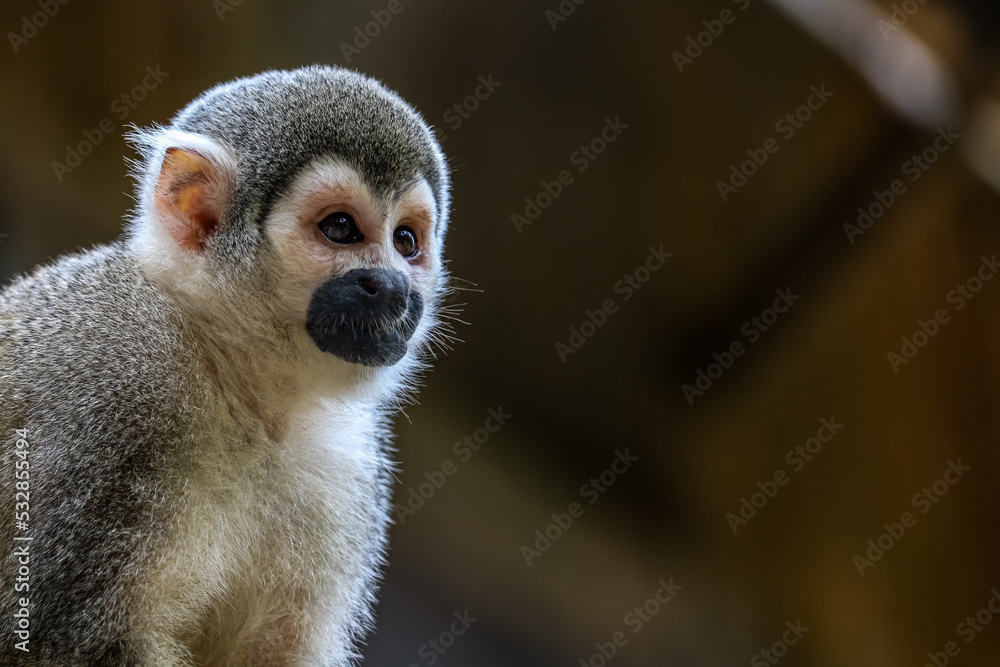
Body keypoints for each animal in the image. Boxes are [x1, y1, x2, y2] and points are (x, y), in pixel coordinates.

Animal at [0, 65, 453, 665]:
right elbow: (56, 636)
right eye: (340, 228)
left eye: (405, 241)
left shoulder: (348, 472)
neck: (235, 382)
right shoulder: (117, 391)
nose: (397, 289)